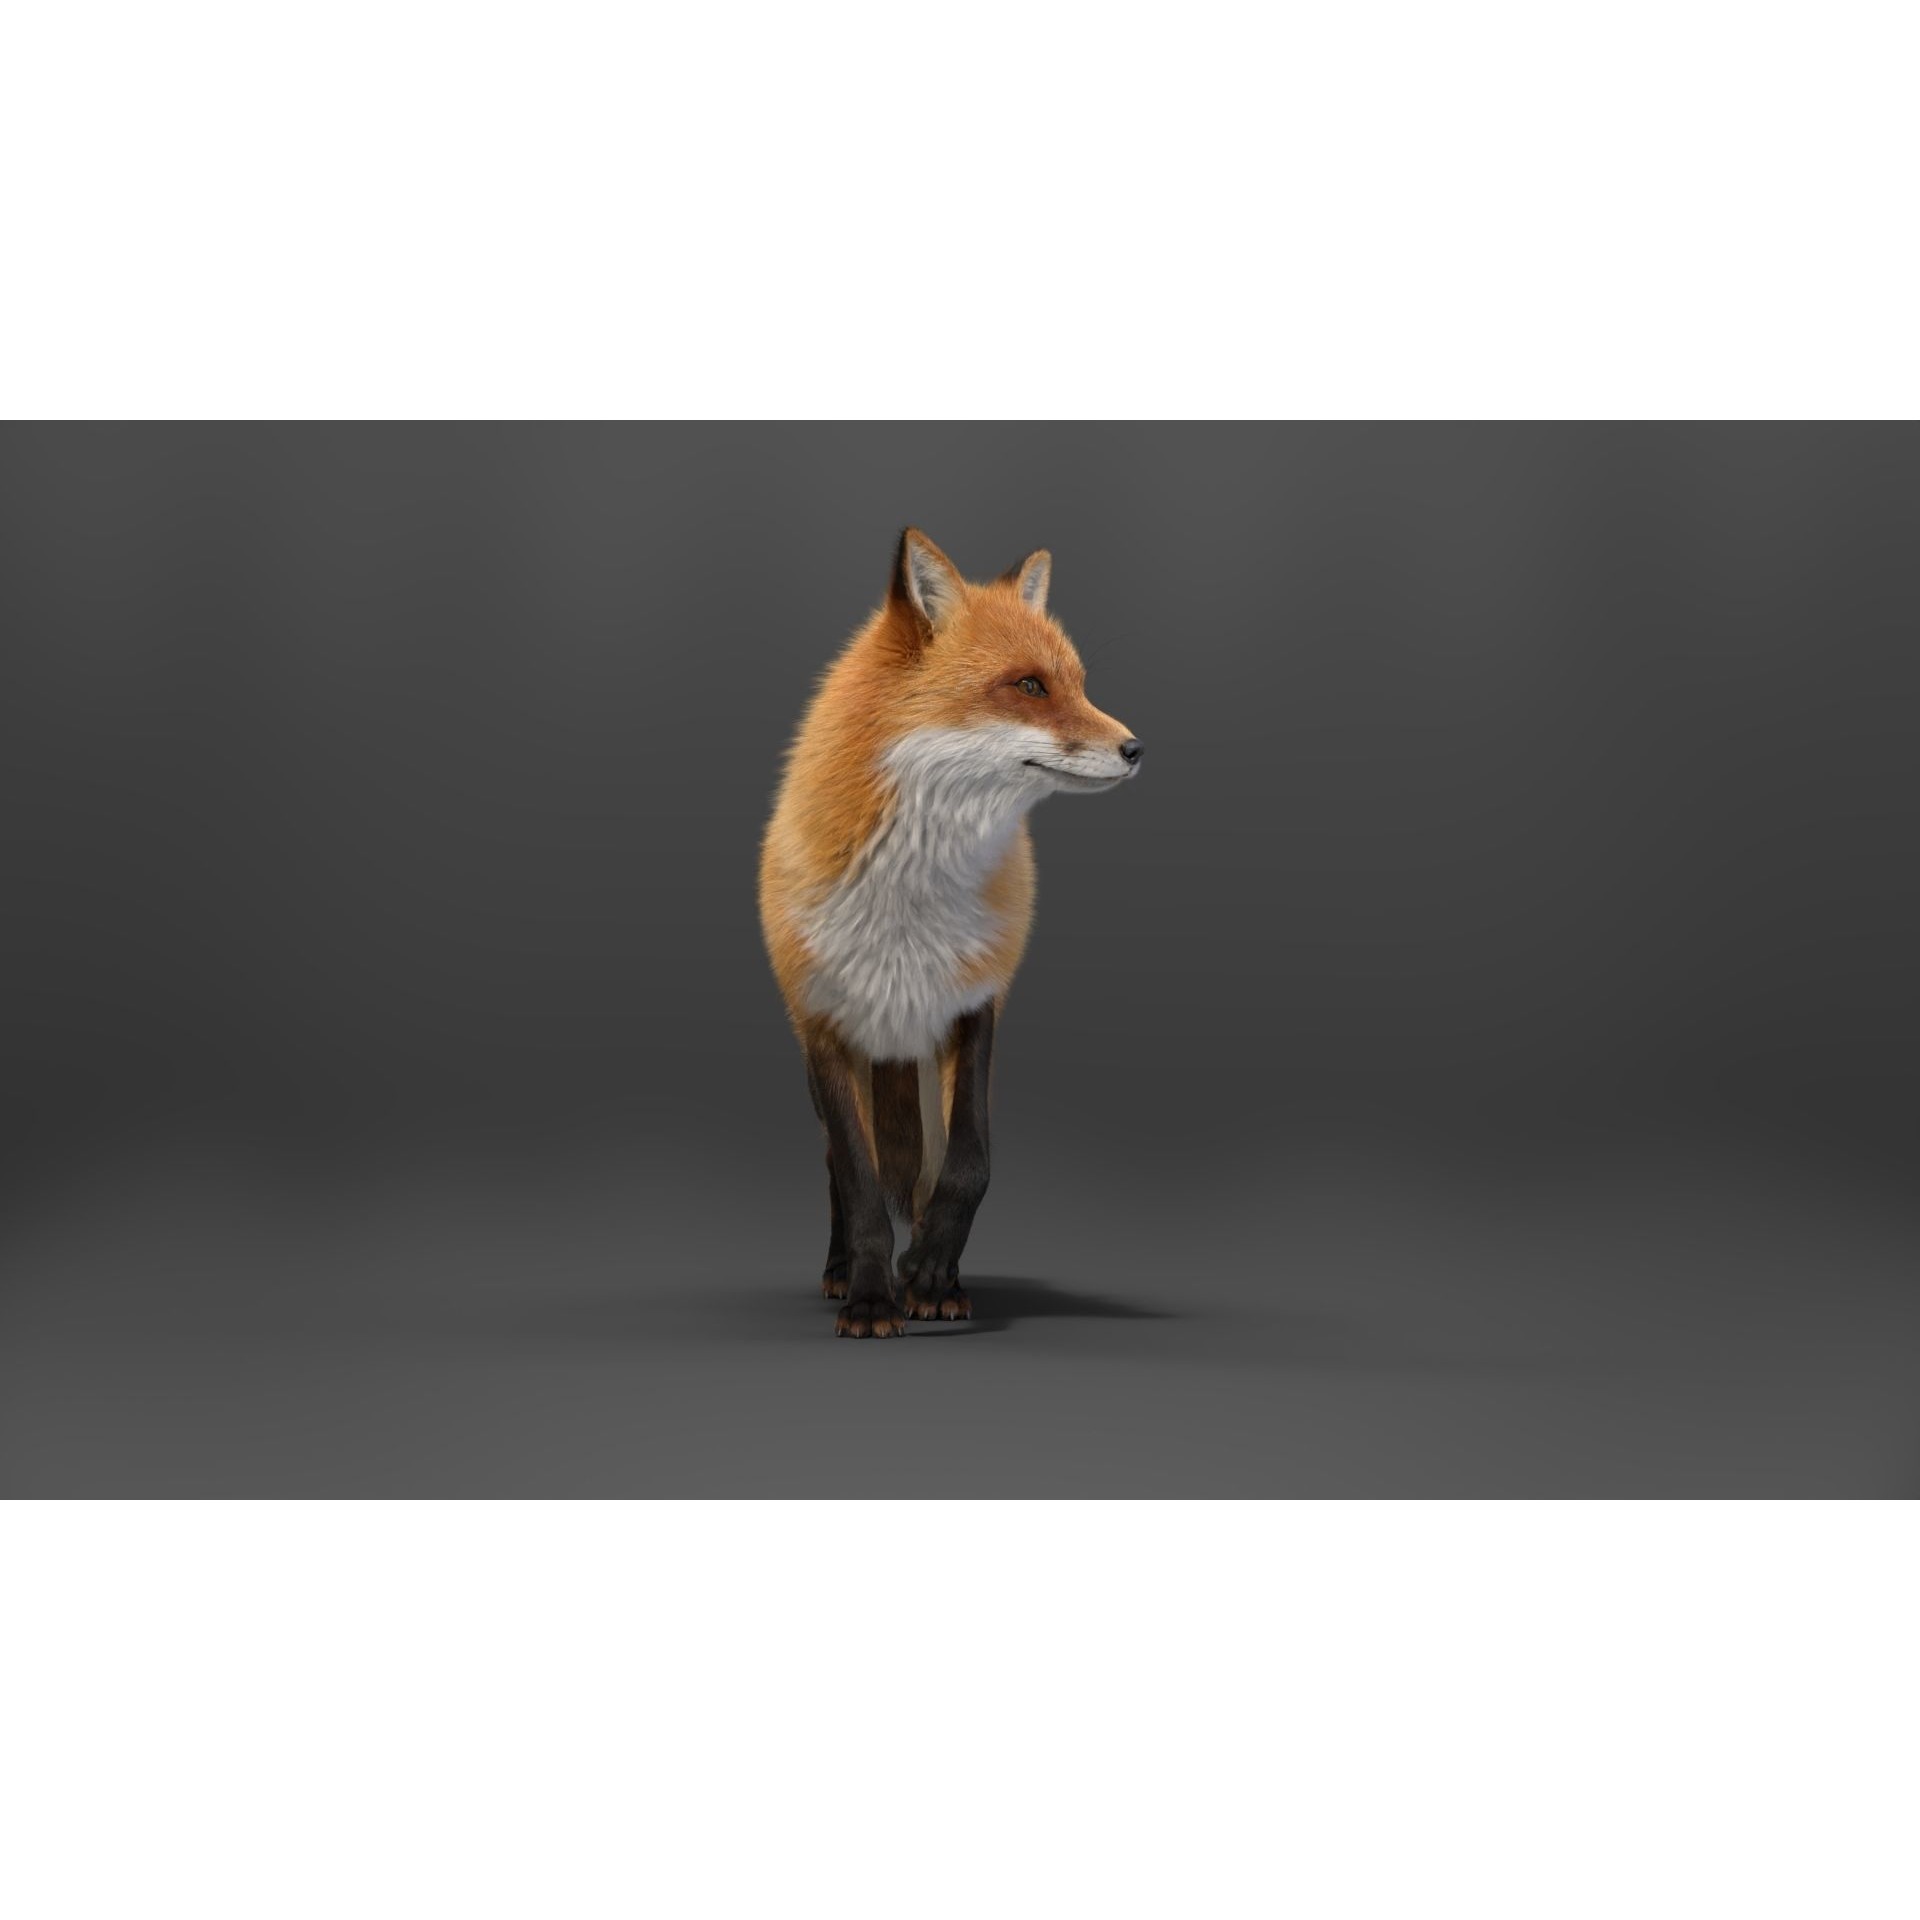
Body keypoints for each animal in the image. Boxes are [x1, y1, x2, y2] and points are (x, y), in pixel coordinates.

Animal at [759, 528, 1142, 1337]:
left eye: (1078, 683)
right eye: (1029, 686)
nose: (1137, 748)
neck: (910, 906)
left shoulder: (974, 1003)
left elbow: (969, 1164)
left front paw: (931, 1272)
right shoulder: (827, 1025)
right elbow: (860, 1183)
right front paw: (873, 1296)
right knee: (836, 1171)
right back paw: (840, 1271)